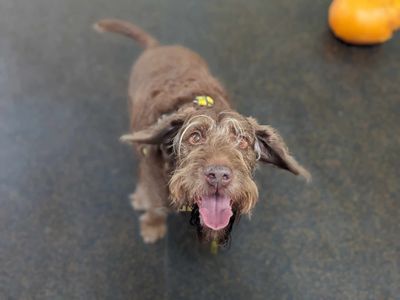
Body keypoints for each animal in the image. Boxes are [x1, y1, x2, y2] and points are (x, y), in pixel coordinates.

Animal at [94, 19, 310, 246]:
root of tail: (157, 47)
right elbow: (155, 205)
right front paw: (152, 225)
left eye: (242, 141)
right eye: (195, 137)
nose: (219, 176)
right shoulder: (154, 183)